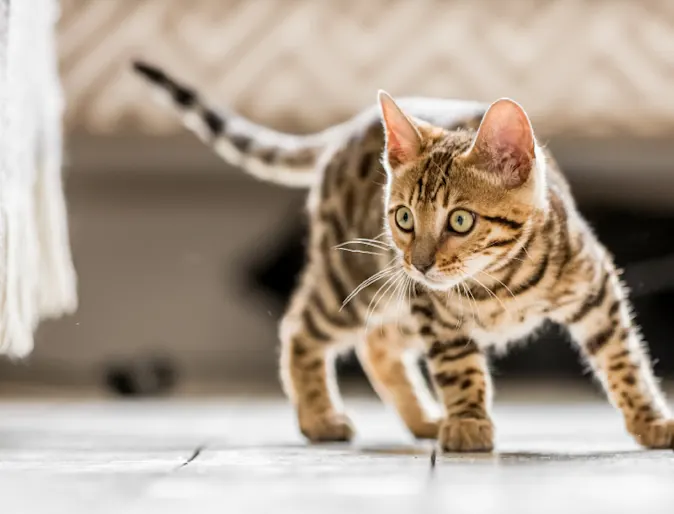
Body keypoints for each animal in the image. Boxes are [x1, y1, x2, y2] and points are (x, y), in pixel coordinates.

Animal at [133, 62, 672, 450]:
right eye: (404, 218)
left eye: (460, 221)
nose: (421, 261)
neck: (499, 282)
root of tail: (346, 131)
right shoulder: (436, 312)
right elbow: (457, 365)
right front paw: (468, 420)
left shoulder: (597, 289)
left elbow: (625, 359)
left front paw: (650, 420)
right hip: (355, 279)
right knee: (301, 328)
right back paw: (319, 416)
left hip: (396, 295)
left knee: (377, 344)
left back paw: (423, 419)